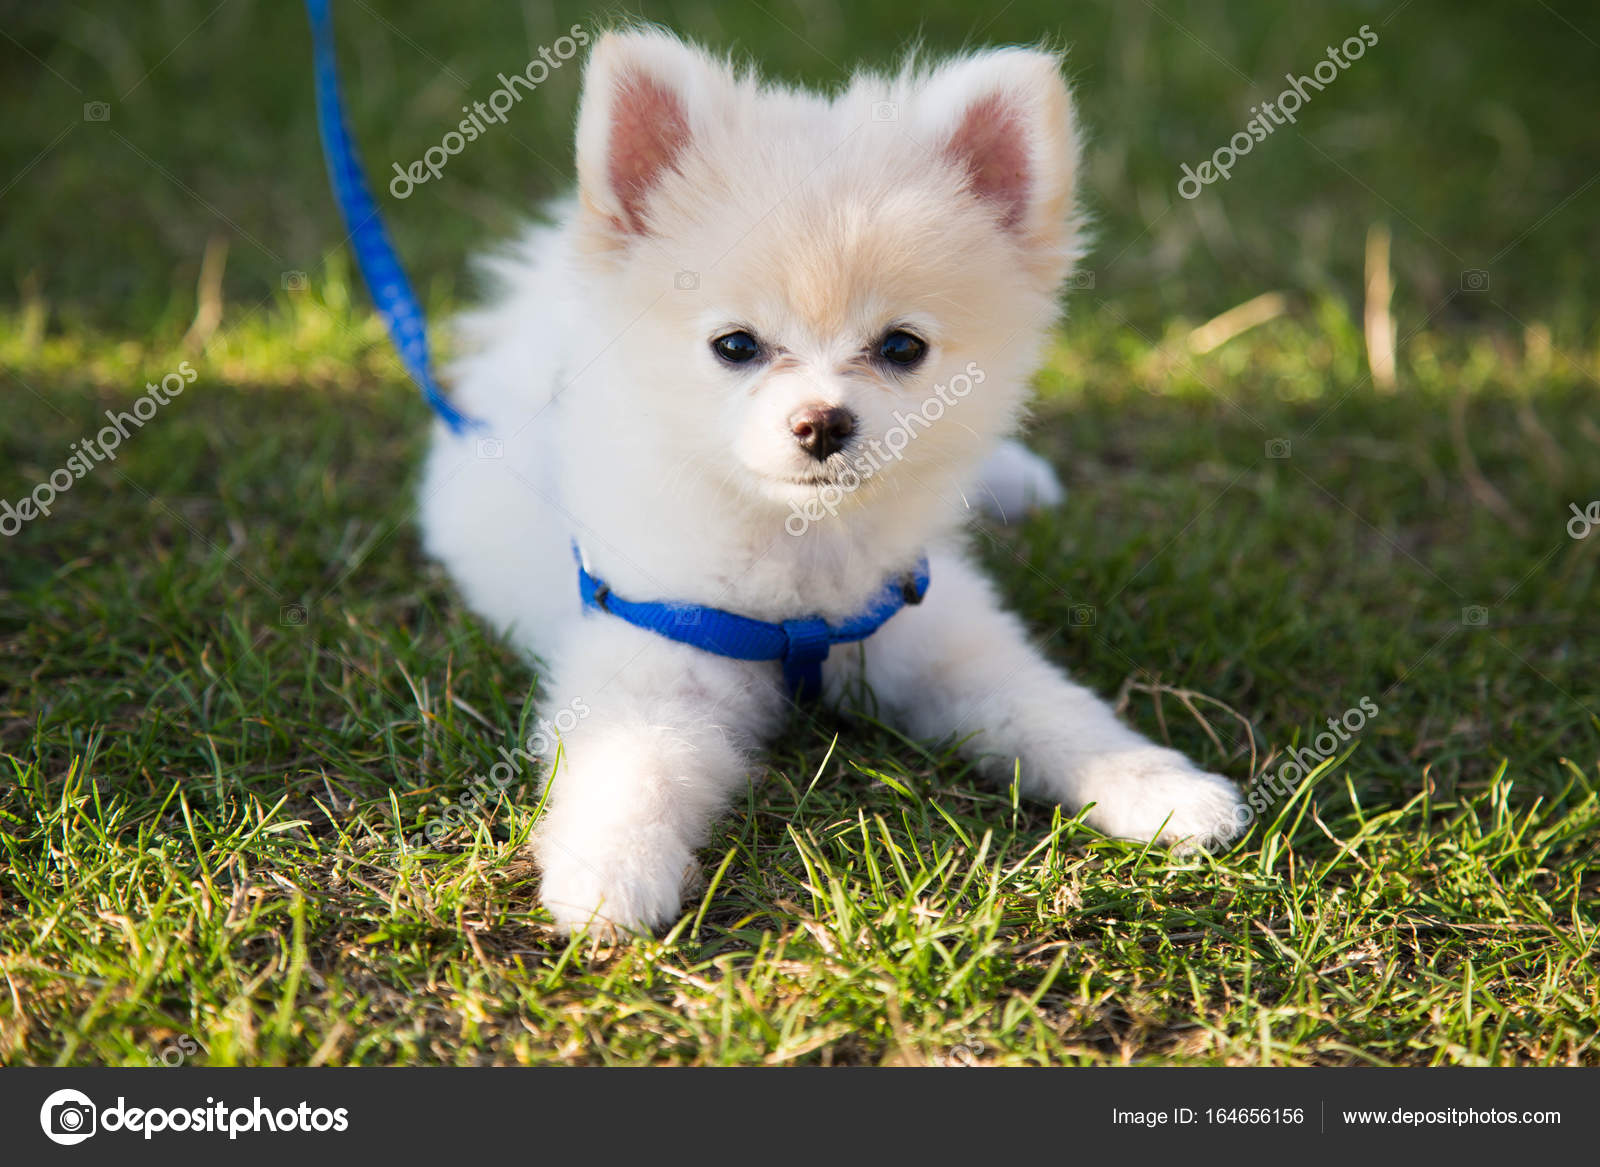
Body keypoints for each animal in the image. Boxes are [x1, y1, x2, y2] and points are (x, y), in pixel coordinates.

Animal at [419, 27, 1241, 934]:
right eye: (736, 346)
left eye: (902, 347)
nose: (823, 422)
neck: (801, 560)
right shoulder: (656, 661)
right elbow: (631, 768)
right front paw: (610, 875)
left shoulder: (936, 635)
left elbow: (1053, 709)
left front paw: (1164, 788)